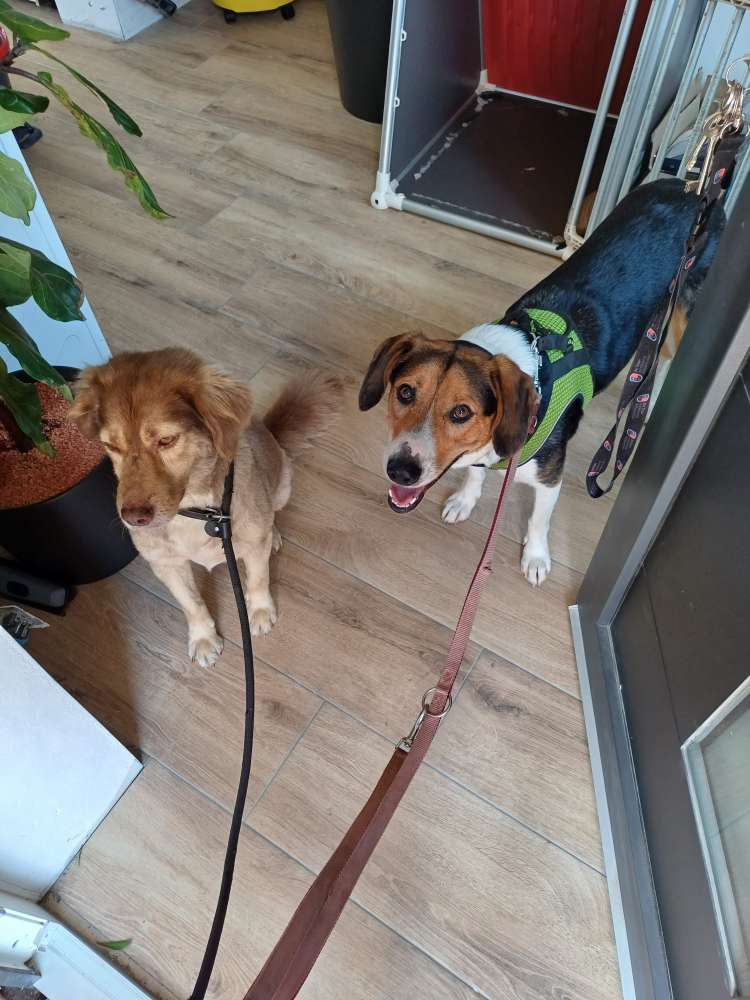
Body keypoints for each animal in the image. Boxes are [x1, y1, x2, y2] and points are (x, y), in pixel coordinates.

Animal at [71, 348, 341, 666]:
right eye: (110, 446)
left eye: (166, 440)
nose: (134, 518)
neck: (196, 511)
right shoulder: (165, 564)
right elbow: (191, 602)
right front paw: (203, 637)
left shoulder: (252, 545)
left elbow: (259, 578)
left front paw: (260, 610)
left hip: (283, 484)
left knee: (272, 517)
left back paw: (273, 535)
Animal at [359, 178, 724, 585]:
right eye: (405, 392)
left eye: (461, 412)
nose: (400, 470)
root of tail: (691, 186)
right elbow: (474, 476)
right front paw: (466, 500)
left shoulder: (550, 479)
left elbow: (538, 521)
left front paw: (535, 558)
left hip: (683, 313)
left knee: (668, 358)